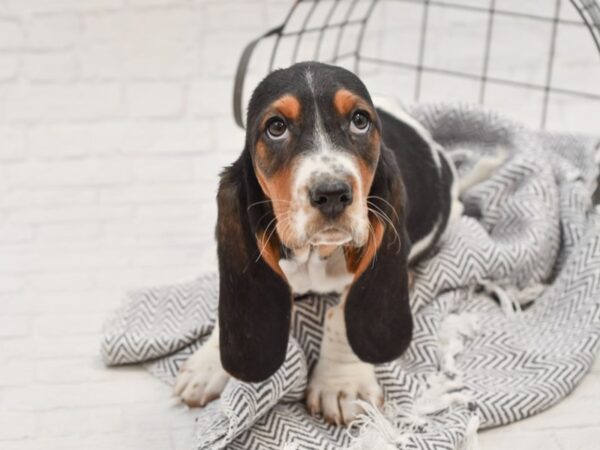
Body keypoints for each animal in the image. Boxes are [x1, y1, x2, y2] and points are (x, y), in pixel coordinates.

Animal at [171, 61, 472, 424]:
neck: (315, 256)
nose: (331, 194)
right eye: (276, 127)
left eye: (360, 120)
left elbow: (341, 315)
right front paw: (207, 365)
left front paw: (342, 387)